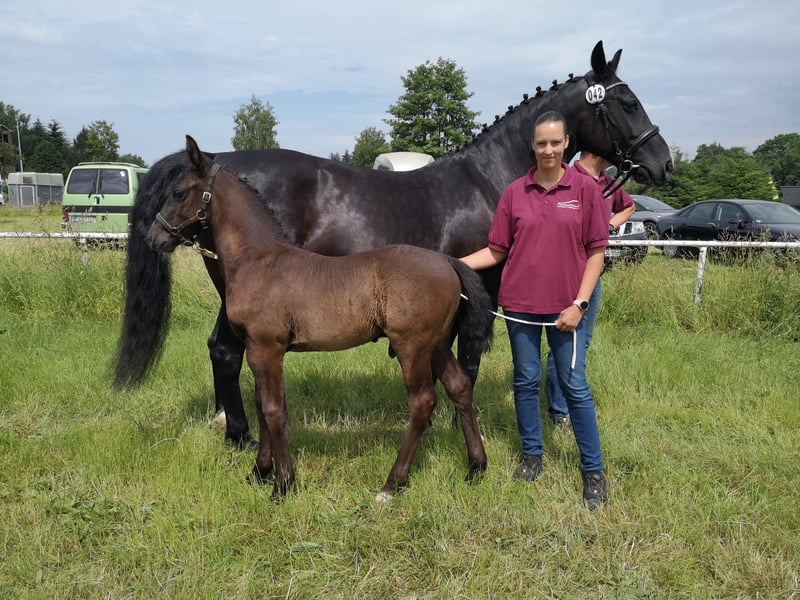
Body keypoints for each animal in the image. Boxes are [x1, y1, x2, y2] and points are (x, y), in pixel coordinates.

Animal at [114, 41, 673, 447]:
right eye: (627, 102)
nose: (663, 162)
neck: (485, 178)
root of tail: (216, 159)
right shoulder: (482, 289)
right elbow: (468, 360)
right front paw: (455, 427)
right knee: (225, 351)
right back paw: (242, 436)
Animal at [148, 135, 495, 500]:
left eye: (178, 192)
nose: (154, 236)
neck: (260, 260)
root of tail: (448, 262)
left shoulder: (267, 349)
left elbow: (273, 410)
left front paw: (283, 484)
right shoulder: (258, 351)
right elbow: (260, 405)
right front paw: (259, 472)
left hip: (411, 346)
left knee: (422, 401)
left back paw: (392, 484)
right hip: (437, 344)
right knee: (459, 388)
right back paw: (476, 467)